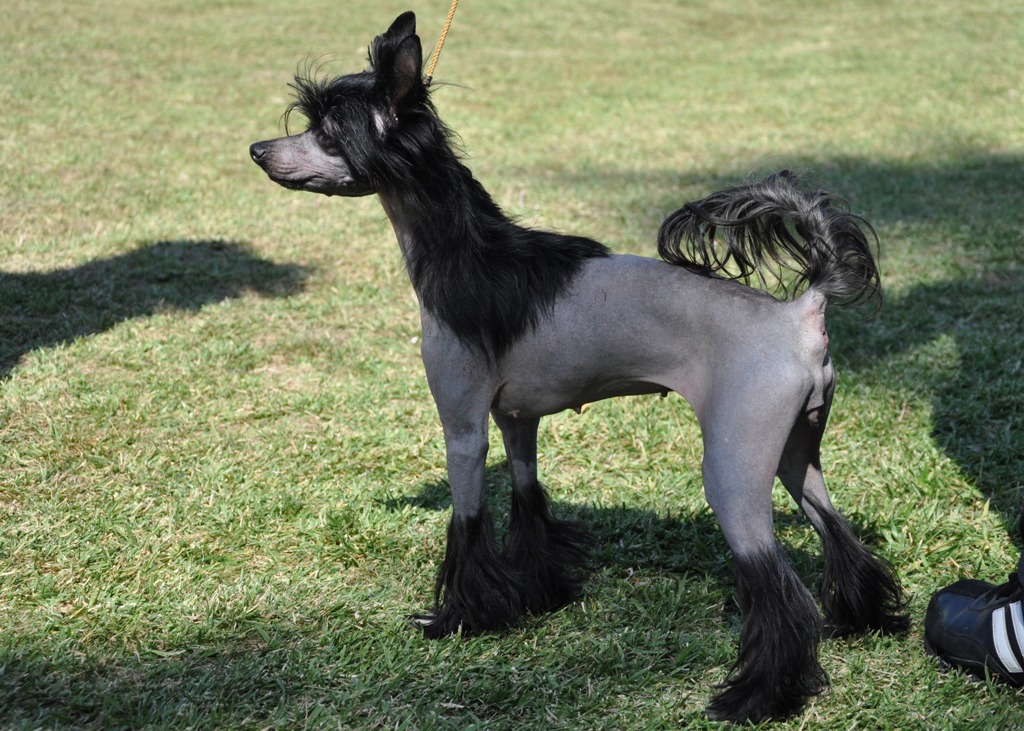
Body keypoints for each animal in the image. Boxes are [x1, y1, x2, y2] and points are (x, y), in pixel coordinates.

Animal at [250, 12, 908, 723]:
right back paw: (862, 619)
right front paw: (538, 596)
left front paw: (460, 619)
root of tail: (801, 311)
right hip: (793, 455)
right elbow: (528, 502)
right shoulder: (516, 423)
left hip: (733, 472)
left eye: (326, 131)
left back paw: (760, 694)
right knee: (837, 532)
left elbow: (468, 526)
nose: (257, 150)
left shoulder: (463, 430)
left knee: (776, 587)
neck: (471, 253)